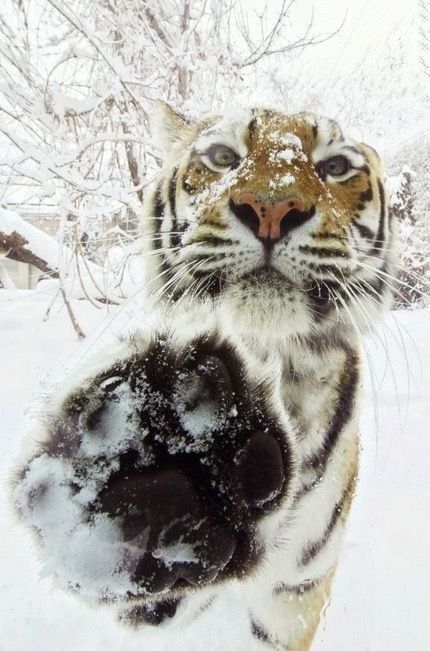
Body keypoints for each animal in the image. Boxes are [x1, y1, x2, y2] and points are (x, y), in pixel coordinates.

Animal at [12, 104, 396, 648]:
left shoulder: (294, 593)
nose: (272, 208)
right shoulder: (164, 604)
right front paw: (161, 453)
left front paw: (192, 451)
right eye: (221, 157)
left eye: (336, 167)